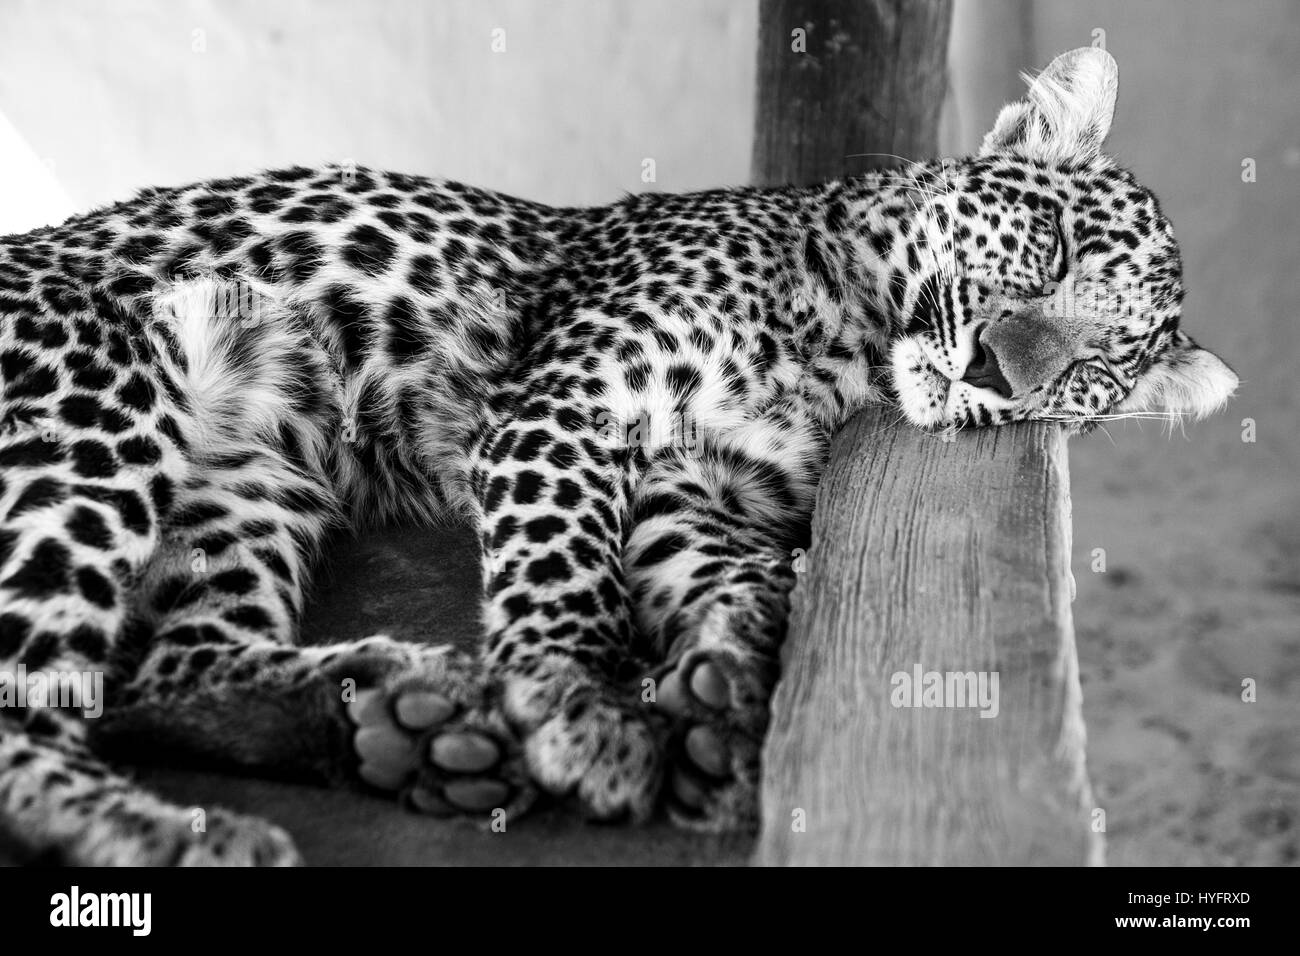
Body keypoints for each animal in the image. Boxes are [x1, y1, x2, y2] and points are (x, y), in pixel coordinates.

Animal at [0, 46, 1232, 868]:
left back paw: (398, 714)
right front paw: (584, 709)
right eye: (1052, 245)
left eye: (1096, 367)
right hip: (100, 402)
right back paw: (178, 830)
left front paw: (726, 688)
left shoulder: (695, 488)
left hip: (252, 476)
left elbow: (737, 577)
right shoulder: (567, 406)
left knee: (172, 668)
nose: (999, 375)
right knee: (30, 708)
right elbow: (568, 573)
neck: (849, 341)